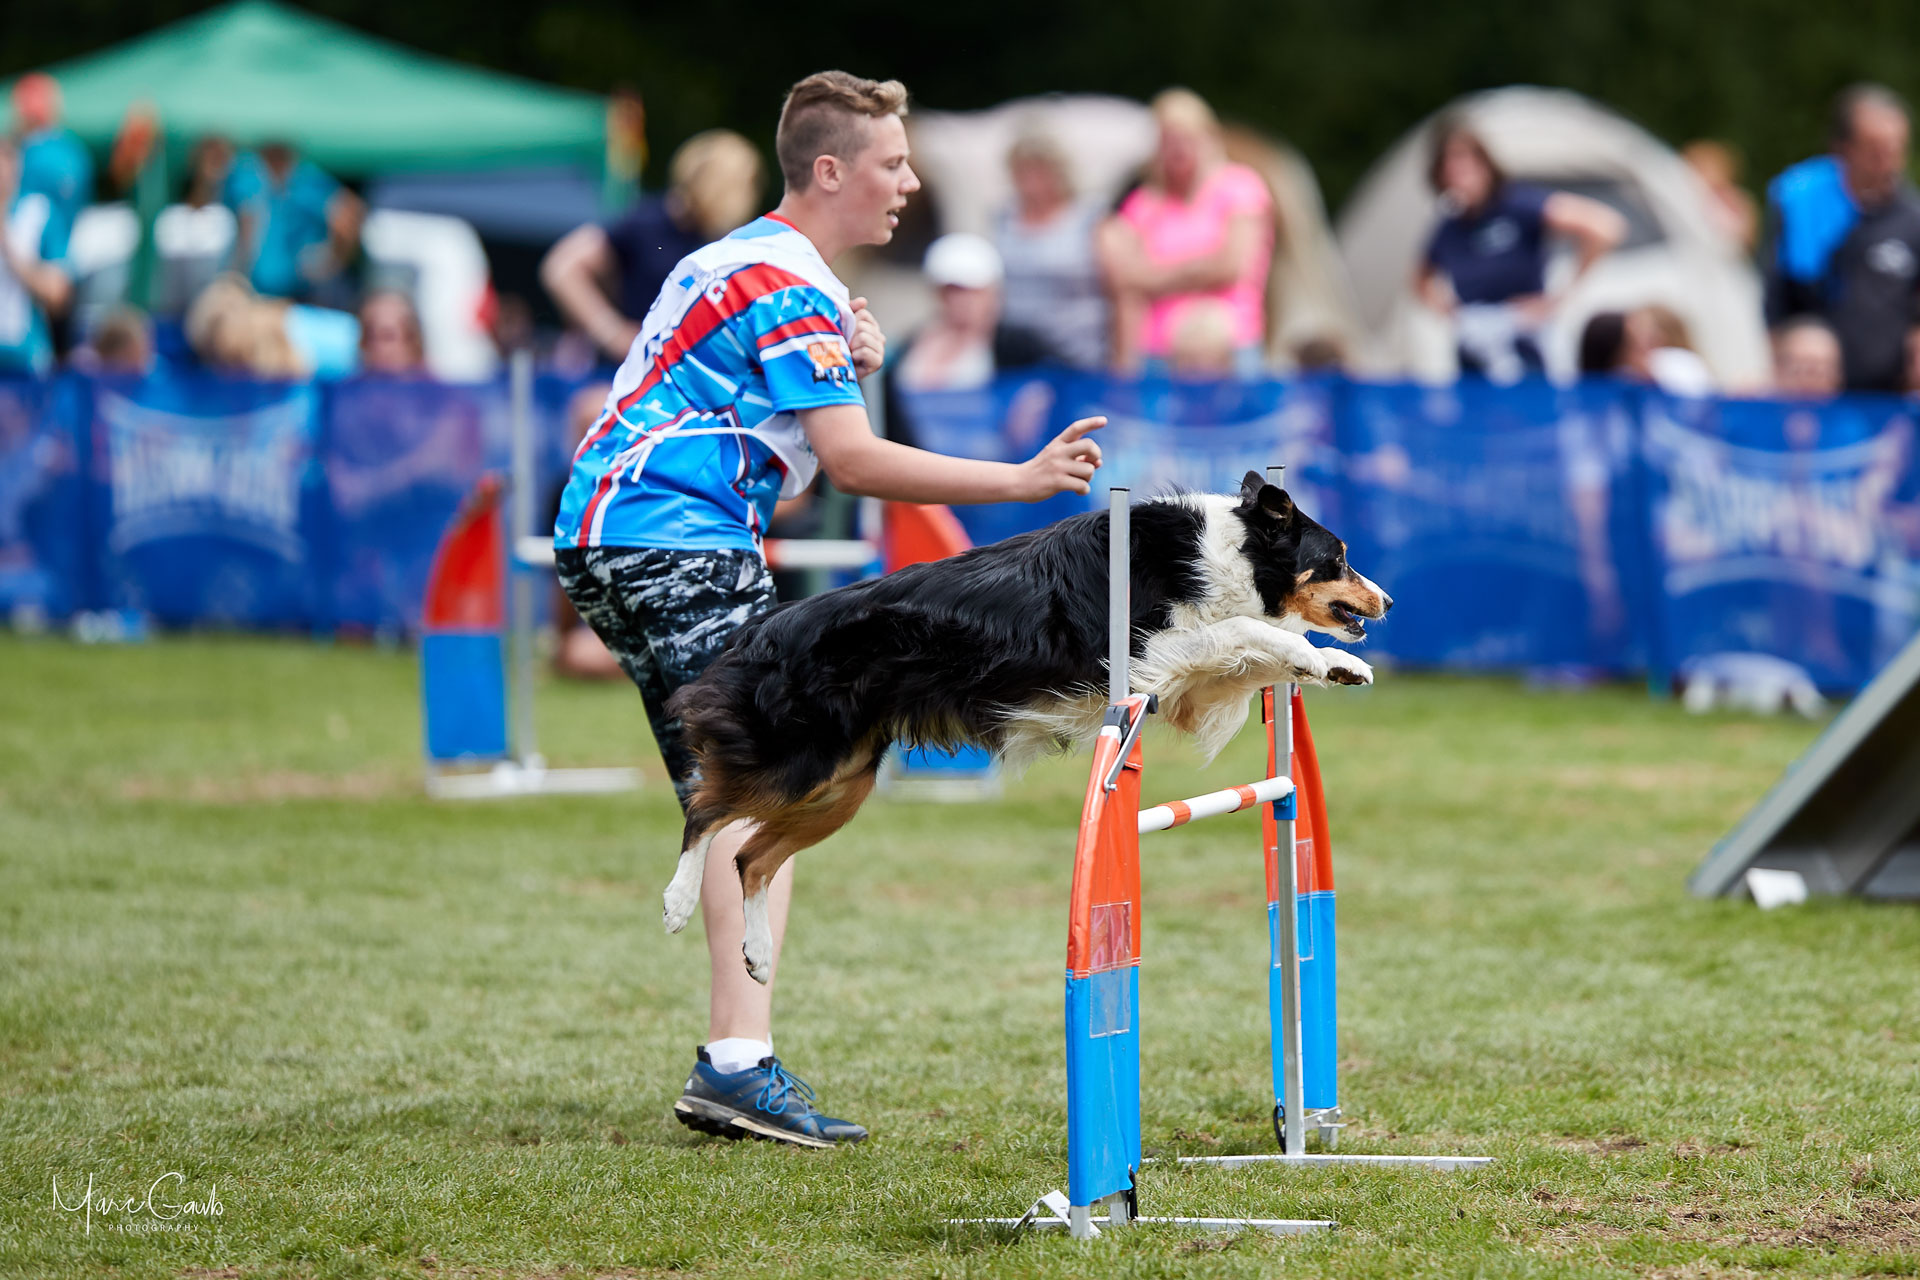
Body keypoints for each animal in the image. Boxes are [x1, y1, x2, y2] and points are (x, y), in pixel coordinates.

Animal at [662, 472, 1391, 982]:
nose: (1385, 600)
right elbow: (1248, 629)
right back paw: (676, 902)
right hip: (799, 759)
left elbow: (1253, 650)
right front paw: (1314, 655)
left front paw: (1337, 665)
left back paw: (757, 954)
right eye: (1339, 558)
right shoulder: (1144, 652)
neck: (1227, 554)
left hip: (842, 782)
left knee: (751, 857)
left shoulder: (1184, 685)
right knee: (704, 809)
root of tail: (760, 629)